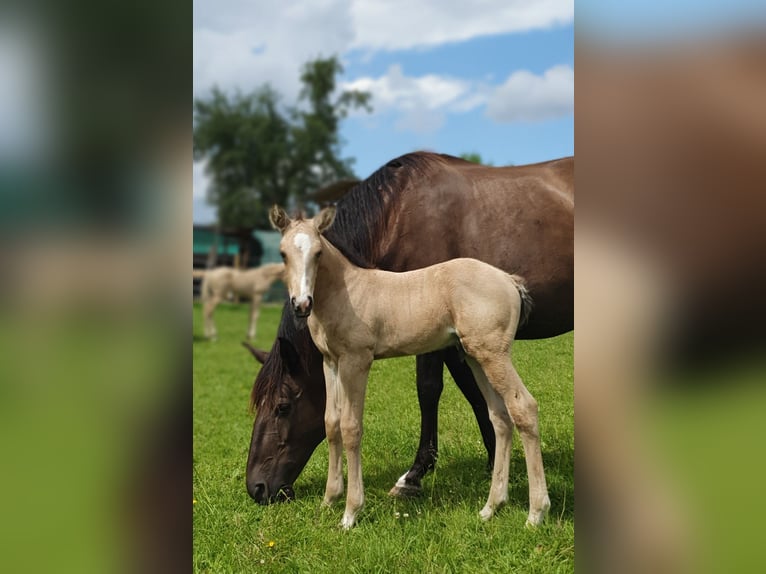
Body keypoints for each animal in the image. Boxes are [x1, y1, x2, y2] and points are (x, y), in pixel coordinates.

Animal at [248, 151, 576, 506]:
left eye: (283, 406)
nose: (257, 487)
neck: (397, 214)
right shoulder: (455, 341)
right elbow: (475, 393)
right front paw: (494, 462)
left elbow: (428, 390)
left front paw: (413, 476)